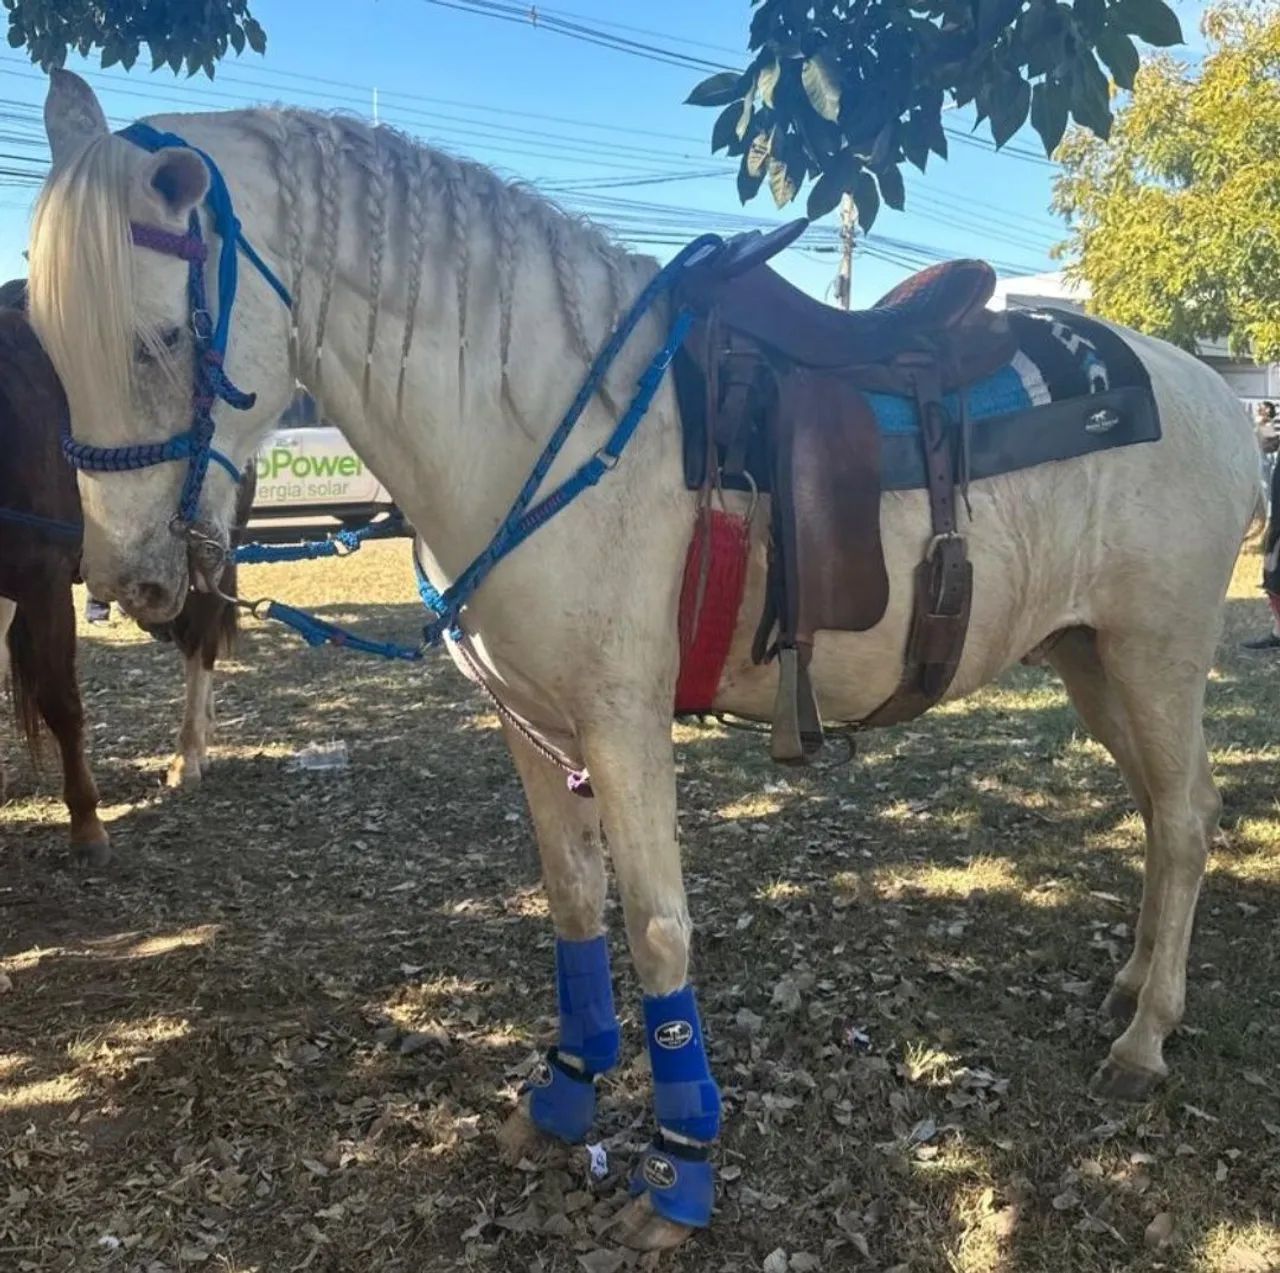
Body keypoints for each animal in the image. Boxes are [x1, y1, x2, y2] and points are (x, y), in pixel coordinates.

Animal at [27, 70, 1261, 1250]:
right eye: (48, 349)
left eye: (163, 342)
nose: (130, 579)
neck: (540, 422)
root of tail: (1213, 396)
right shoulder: (528, 721)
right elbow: (574, 901)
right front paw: (563, 1097)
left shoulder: (624, 723)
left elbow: (659, 929)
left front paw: (681, 1174)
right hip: (1089, 659)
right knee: (1163, 811)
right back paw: (1131, 985)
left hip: (1154, 657)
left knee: (1186, 817)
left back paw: (1145, 1037)